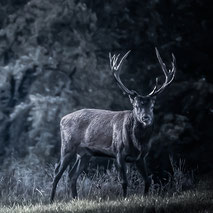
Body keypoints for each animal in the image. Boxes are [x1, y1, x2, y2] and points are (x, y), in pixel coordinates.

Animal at [50, 47, 176, 202]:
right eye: (135, 106)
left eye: (152, 106)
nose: (145, 117)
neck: (138, 143)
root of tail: (62, 119)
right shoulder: (118, 152)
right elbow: (124, 181)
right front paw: (125, 199)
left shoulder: (141, 157)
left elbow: (148, 180)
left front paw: (145, 197)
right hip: (68, 146)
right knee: (57, 172)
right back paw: (51, 200)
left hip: (85, 153)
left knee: (72, 175)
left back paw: (75, 198)